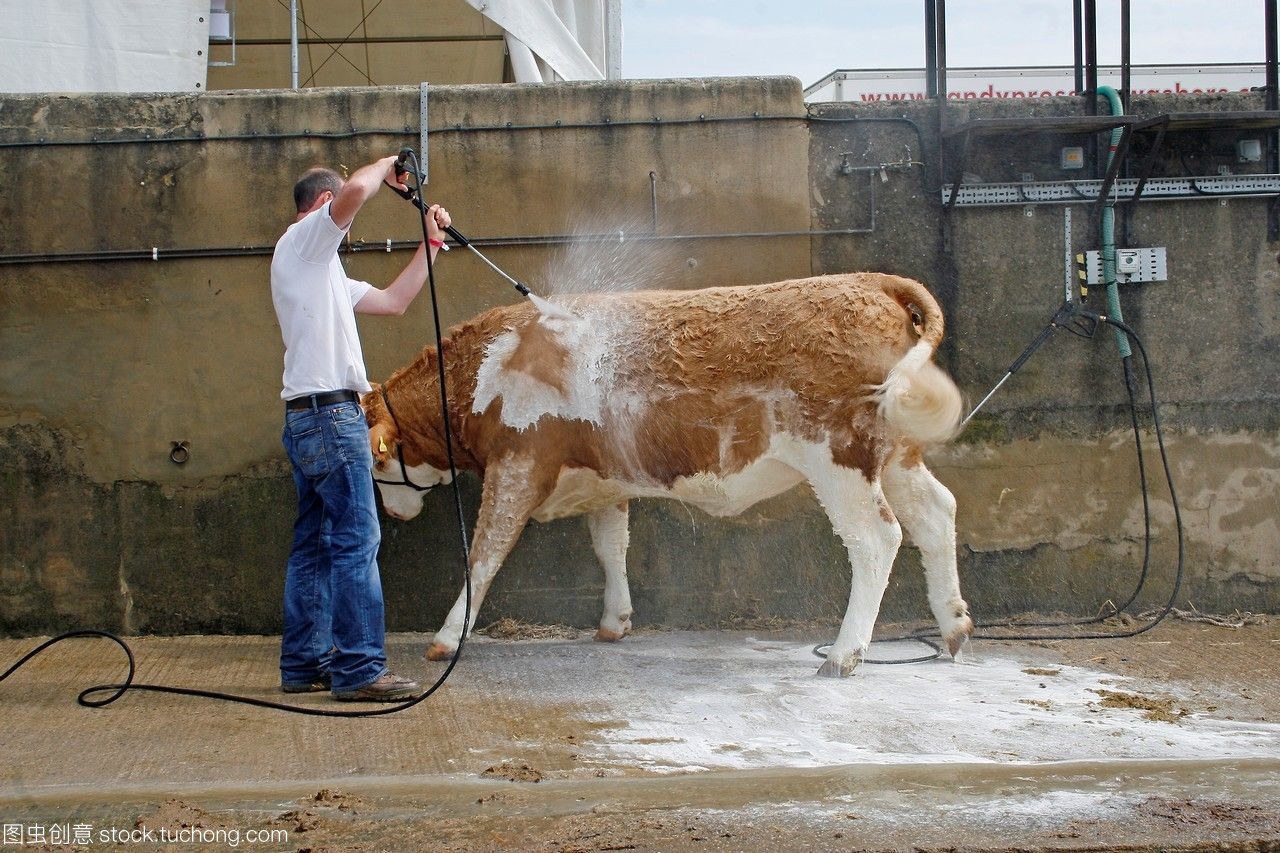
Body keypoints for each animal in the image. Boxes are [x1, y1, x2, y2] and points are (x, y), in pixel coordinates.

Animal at [360, 268, 967, 676]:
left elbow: (484, 554)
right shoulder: (602, 476)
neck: (484, 368)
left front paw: (446, 638)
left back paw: (843, 655)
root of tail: (874, 281)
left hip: (839, 461)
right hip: (896, 457)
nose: (393, 511)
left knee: (876, 538)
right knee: (936, 515)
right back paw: (954, 628)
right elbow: (611, 546)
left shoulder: (516, 467)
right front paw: (615, 621)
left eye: (377, 459)